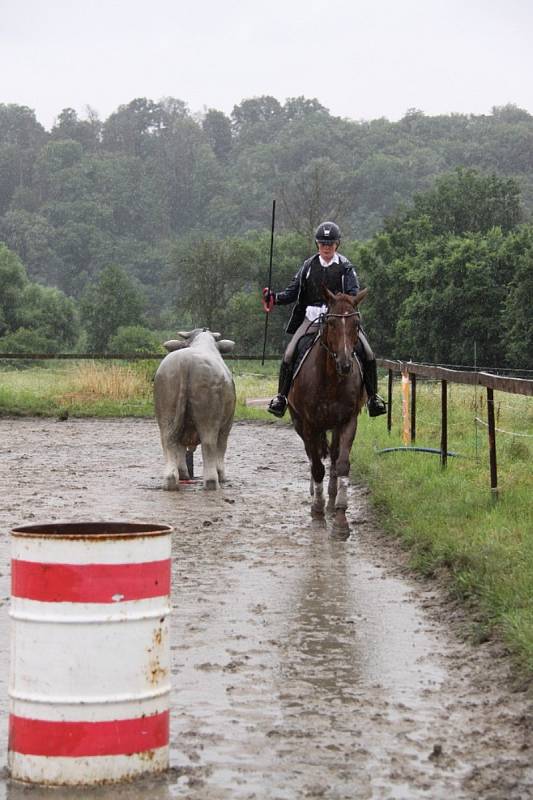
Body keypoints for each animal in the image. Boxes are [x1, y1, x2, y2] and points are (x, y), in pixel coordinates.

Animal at [152, 328, 235, 490]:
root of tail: (186, 360)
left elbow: (180, 449)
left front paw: (183, 474)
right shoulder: (227, 424)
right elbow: (221, 447)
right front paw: (222, 475)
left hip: (167, 414)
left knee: (169, 442)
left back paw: (172, 479)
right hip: (208, 417)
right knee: (209, 445)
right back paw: (212, 482)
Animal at [288, 288, 368, 536]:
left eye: (356, 323)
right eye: (331, 323)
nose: (345, 364)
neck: (331, 379)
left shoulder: (348, 421)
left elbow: (342, 464)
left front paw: (341, 517)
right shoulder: (310, 425)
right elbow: (316, 466)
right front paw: (317, 510)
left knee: (332, 457)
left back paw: (331, 501)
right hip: (301, 424)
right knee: (312, 456)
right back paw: (317, 495)